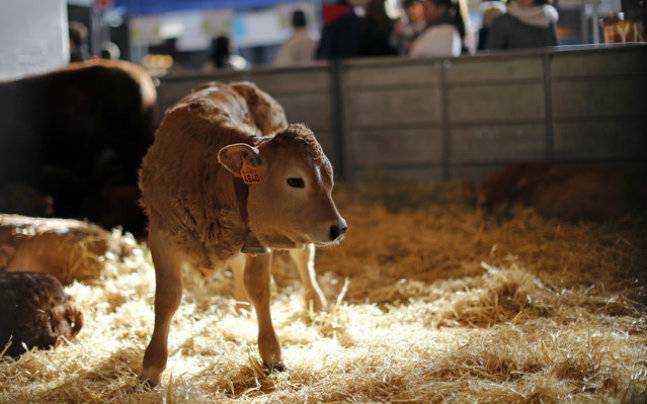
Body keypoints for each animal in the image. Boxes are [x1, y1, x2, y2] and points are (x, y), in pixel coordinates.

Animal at [138, 81, 347, 386]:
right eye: (295, 180)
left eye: (329, 181)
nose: (339, 227)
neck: (209, 174)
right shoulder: (161, 236)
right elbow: (167, 298)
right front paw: (151, 368)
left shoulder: (260, 239)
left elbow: (260, 290)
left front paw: (272, 355)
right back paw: (239, 302)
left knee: (303, 258)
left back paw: (315, 302)